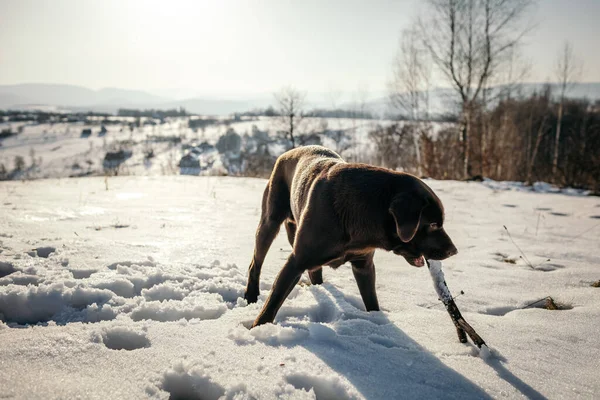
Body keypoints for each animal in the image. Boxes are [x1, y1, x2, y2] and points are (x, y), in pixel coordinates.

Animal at [243, 145, 454, 326]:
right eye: (433, 224)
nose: (453, 251)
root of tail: (288, 152)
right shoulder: (296, 260)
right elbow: (273, 302)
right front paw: (258, 328)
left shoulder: (364, 265)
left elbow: (371, 301)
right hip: (270, 222)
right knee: (256, 263)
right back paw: (251, 296)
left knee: (314, 271)